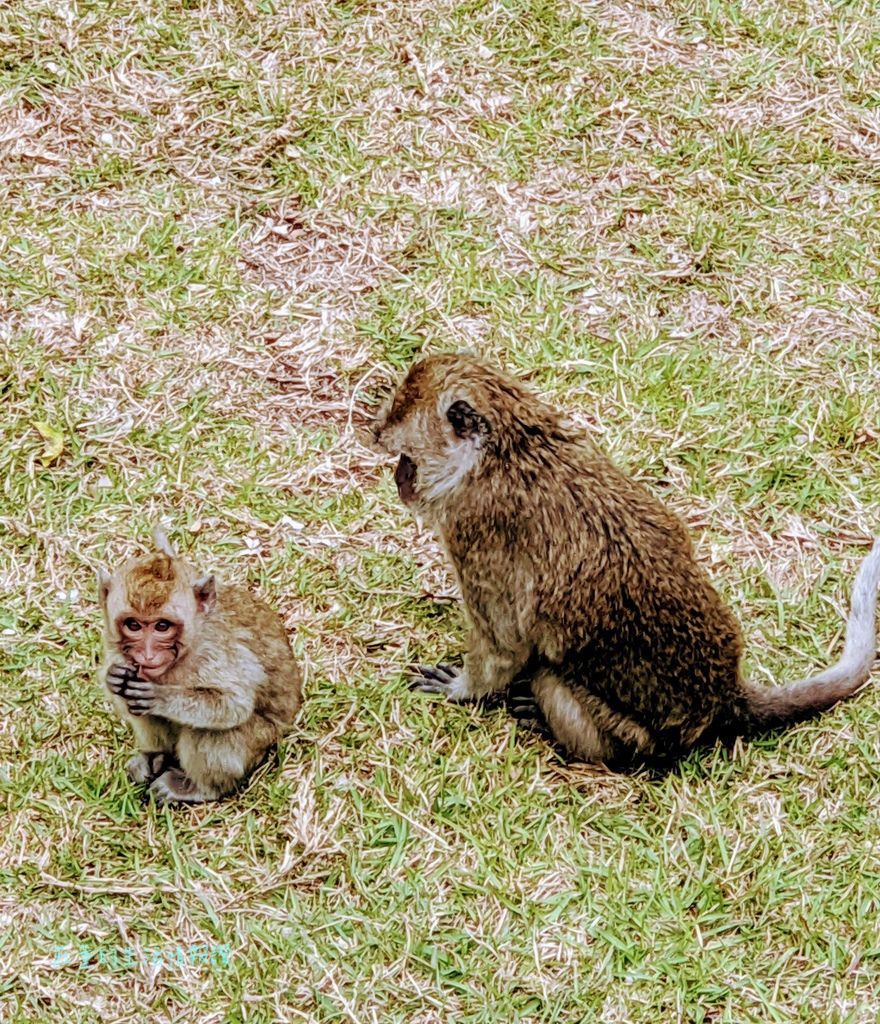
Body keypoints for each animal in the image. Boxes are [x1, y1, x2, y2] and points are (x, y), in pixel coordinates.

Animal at [100, 532, 303, 802]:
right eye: (133, 625)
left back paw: (199, 788)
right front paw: (115, 679)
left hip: (259, 741)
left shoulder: (216, 652)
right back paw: (156, 757)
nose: (147, 655)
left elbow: (234, 705)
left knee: (209, 729)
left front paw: (162, 697)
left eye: (162, 626)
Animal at [372, 354, 880, 770]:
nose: (378, 437)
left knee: (552, 681)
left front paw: (464, 688)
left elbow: (505, 644)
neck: (505, 452)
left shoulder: (474, 532)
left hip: (630, 730)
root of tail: (723, 696)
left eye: (399, 424)